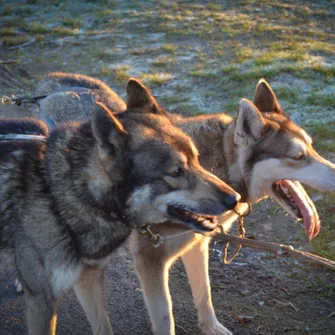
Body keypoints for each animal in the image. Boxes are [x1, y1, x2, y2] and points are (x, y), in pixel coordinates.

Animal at [32, 71, 334, 335]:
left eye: (312, 147)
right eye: (297, 157)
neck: (218, 166)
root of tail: (49, 82)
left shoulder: (197, 246)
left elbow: (204, 296)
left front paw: (211, 329)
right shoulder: (150, 263)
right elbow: (166, 319)